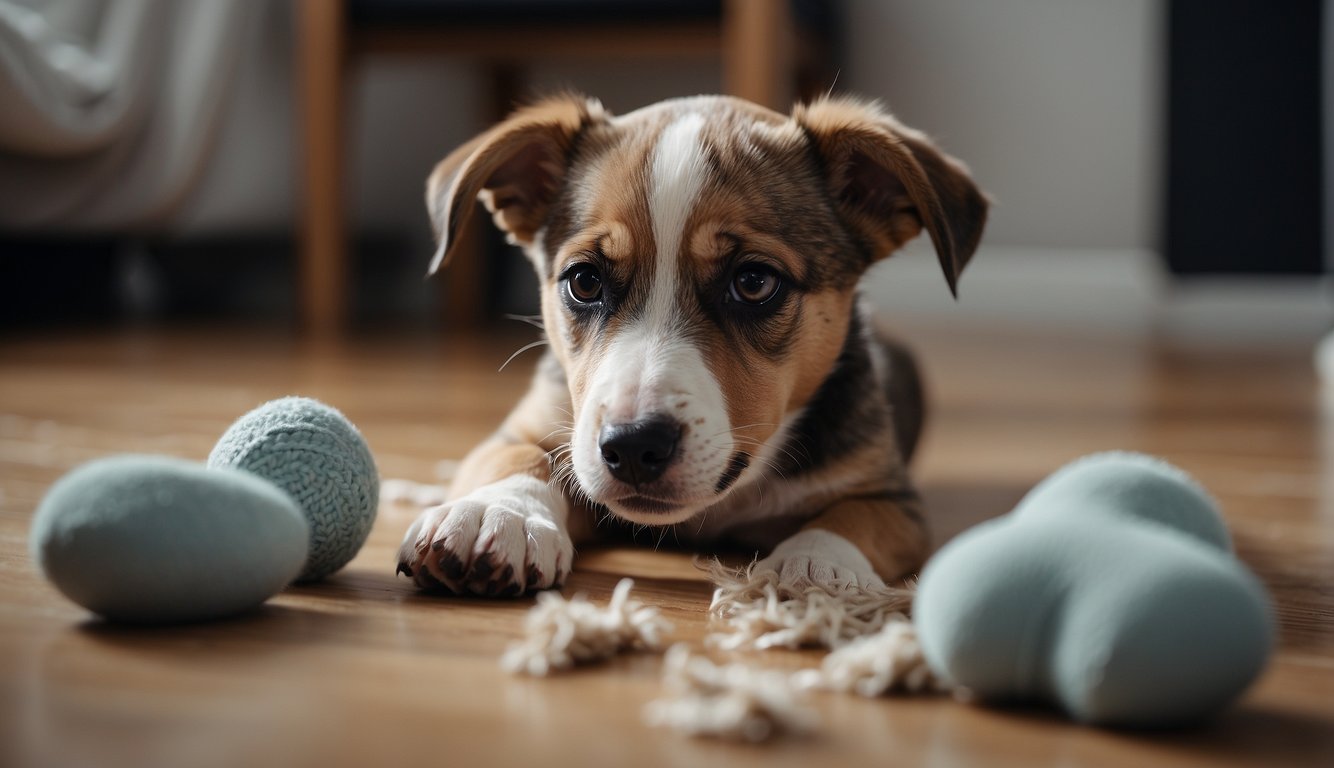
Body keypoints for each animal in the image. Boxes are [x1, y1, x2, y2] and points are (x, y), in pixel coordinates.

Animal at [389, 93, 987, 597]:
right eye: (584, 281)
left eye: (754, 282)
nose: (633, 447)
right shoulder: (533, 426)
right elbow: (516, 455)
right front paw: (499, 513)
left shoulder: (892, 497)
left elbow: (852, 517)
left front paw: (816, 565)